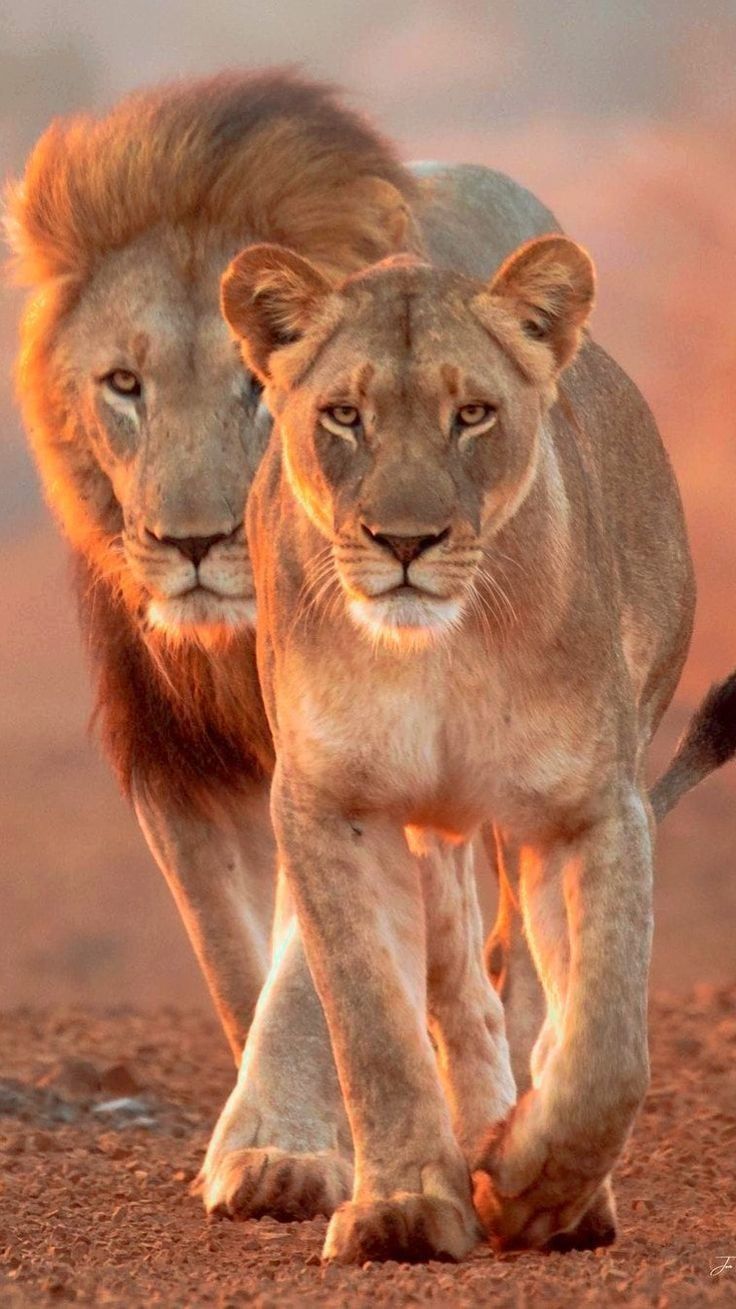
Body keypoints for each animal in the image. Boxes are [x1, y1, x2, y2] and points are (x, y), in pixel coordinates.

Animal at [220, 235, 736, 1263]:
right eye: (345, 415)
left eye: (473, 415)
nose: (405, 541)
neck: (439, 653)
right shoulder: (332, 803)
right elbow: (374, 1026)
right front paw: (405, 1207)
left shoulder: (592, 806)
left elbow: (606, 1045)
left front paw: (536, 1189)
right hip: (434, 835)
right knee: (463, 991)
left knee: (537, 991)